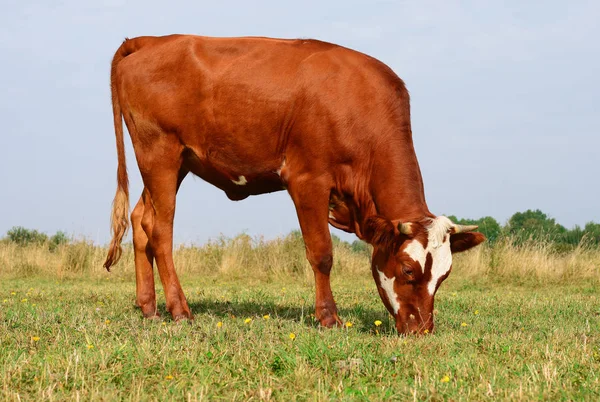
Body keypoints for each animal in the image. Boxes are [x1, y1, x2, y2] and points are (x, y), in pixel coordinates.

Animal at [104, 34, 488, 334]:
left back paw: (149, 308)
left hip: (175, 162)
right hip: (160, 153)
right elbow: (322, 254)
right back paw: (180, 310)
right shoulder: (308, 180)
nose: (422, 329)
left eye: (445, 275)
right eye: (408, 270)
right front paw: (329, 318)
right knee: (160, 230)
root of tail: (151, 40)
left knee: (140, 219)